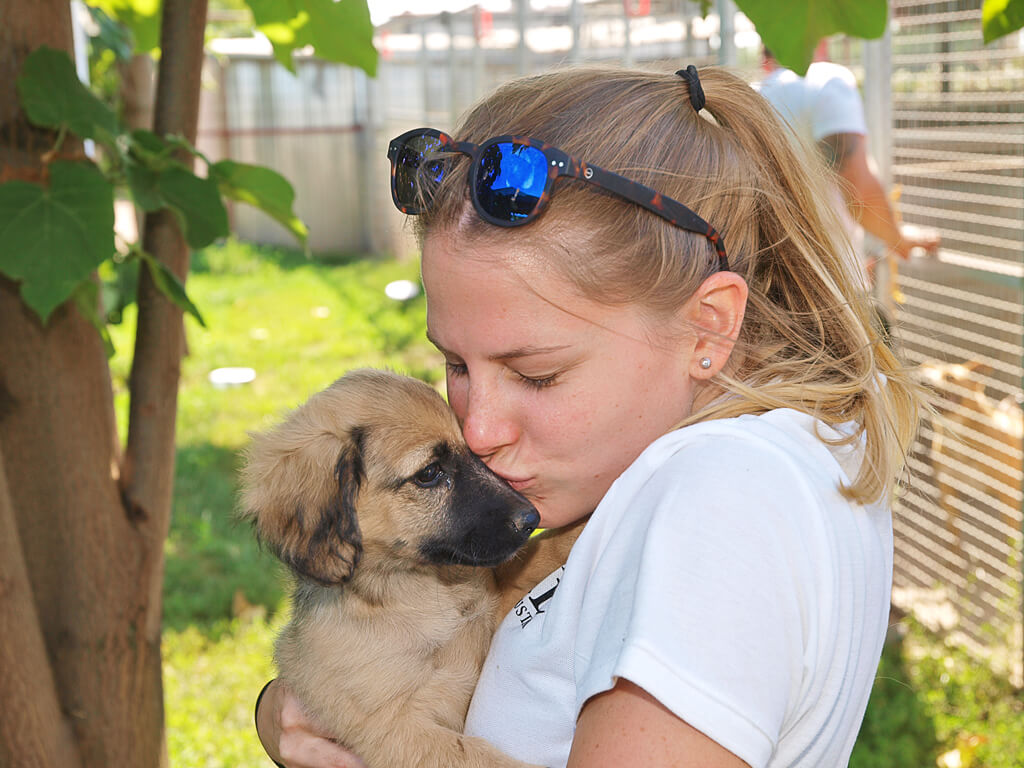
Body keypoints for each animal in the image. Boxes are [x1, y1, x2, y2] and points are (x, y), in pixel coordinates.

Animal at [241, 369, 578, 768]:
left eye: (472, 452)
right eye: (429, 473)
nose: (530, 518)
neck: (418, 589)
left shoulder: (492, 606)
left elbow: (542, 550)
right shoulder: (394, 731)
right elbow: (475, 755)